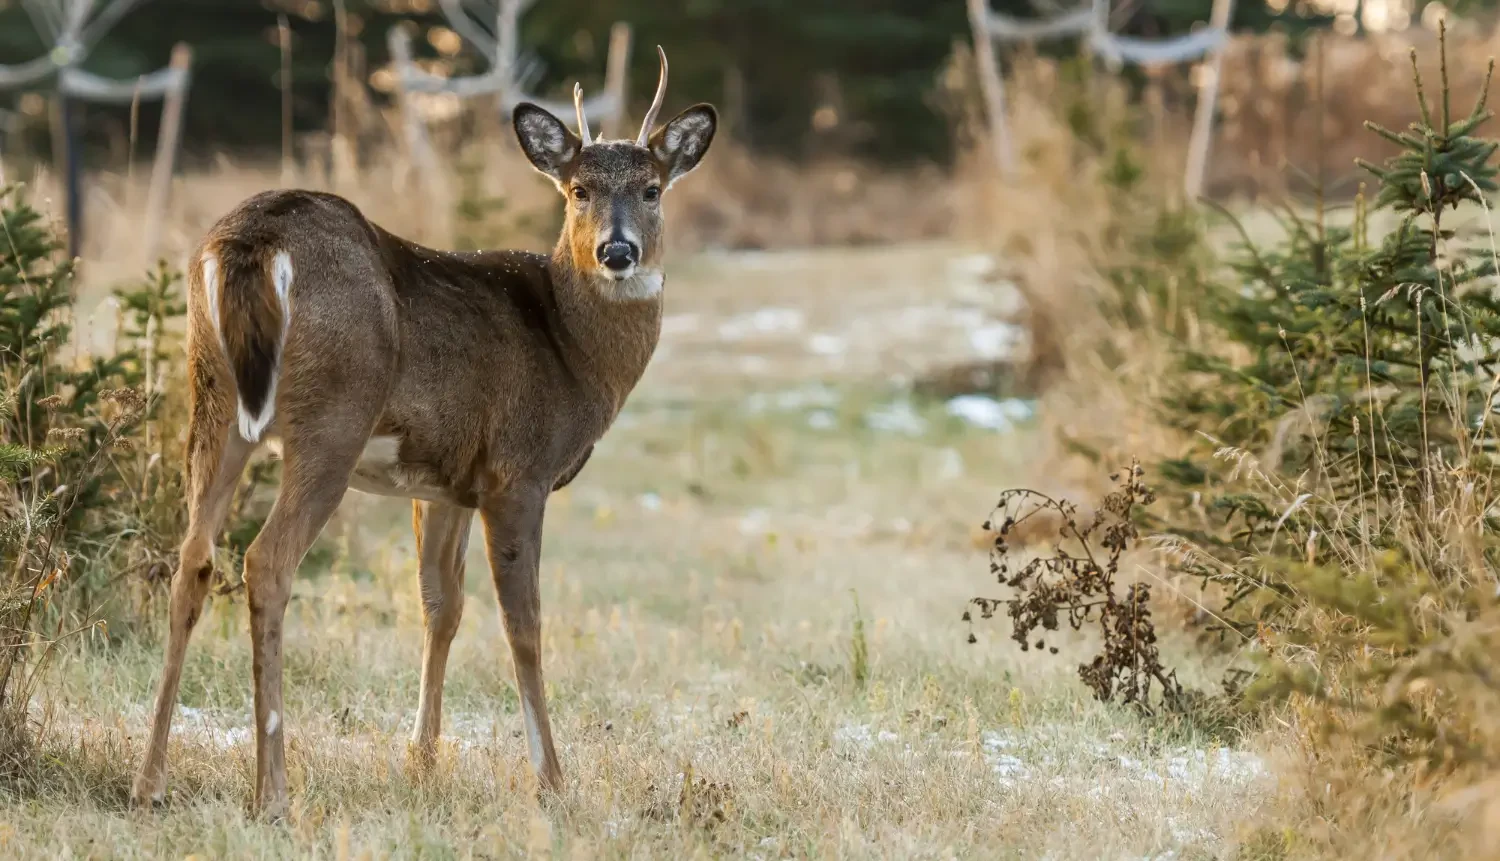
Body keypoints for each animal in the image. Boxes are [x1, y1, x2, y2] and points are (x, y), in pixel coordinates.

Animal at [130, 48, 714, 818]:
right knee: (267, 560)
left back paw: (150, 780)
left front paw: (423, 761)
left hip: (214, 399)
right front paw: (552, 779)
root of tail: (250, 242)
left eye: (651, 189)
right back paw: (273, 792)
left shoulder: (443, 481)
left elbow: (441, 606)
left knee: (192, 558)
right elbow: (523, 623)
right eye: (578, 190)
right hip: (334, 411)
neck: (571, 348)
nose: (618, 252)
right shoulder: (517, 469)